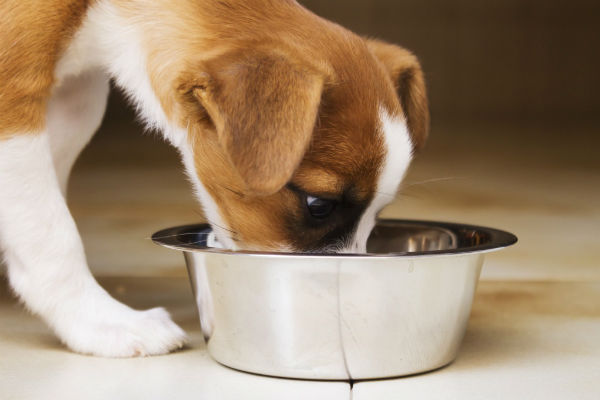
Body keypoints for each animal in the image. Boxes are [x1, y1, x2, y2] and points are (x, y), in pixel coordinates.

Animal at [1, 0, 432, 356]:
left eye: (379, 213)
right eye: (318, 205)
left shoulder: (77, 99)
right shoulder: (14, 104)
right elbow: (51, 233)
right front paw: (99, 320)